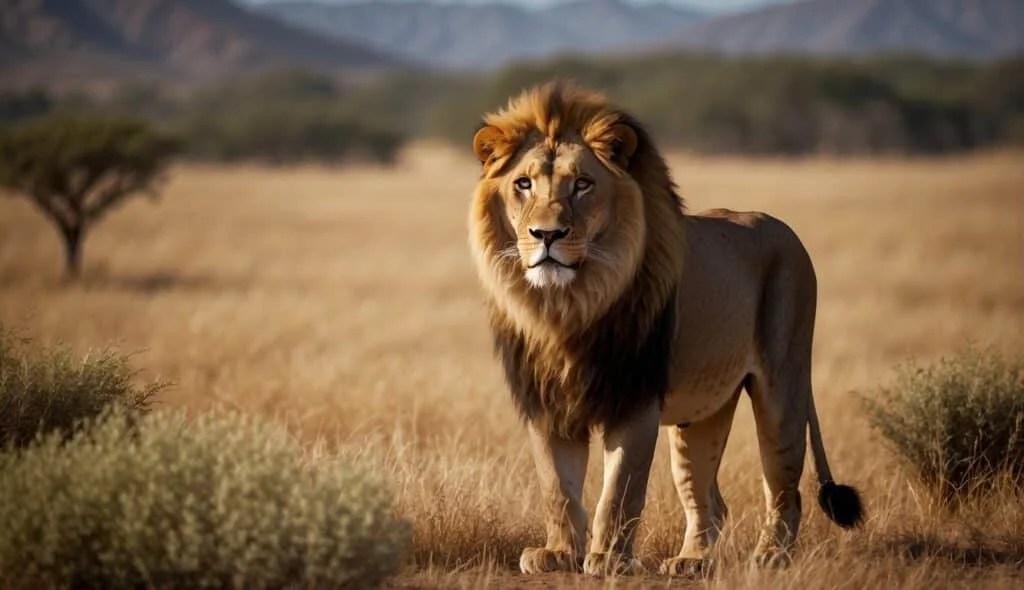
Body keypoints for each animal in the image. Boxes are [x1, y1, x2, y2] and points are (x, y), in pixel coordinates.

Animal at [467, 81, 863, 577]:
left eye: (582, 184)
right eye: (523, 184)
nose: (547, 235)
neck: (566, 307)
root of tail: (785, 230)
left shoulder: (635, 399)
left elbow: (619, 491)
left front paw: (608, 558)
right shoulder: (545, 403)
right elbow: (557, 488)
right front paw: (558, 553)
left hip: (783, 386)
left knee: (786, 489)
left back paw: (770, 556)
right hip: (703, 413)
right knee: (710, 500)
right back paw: (692, 560)